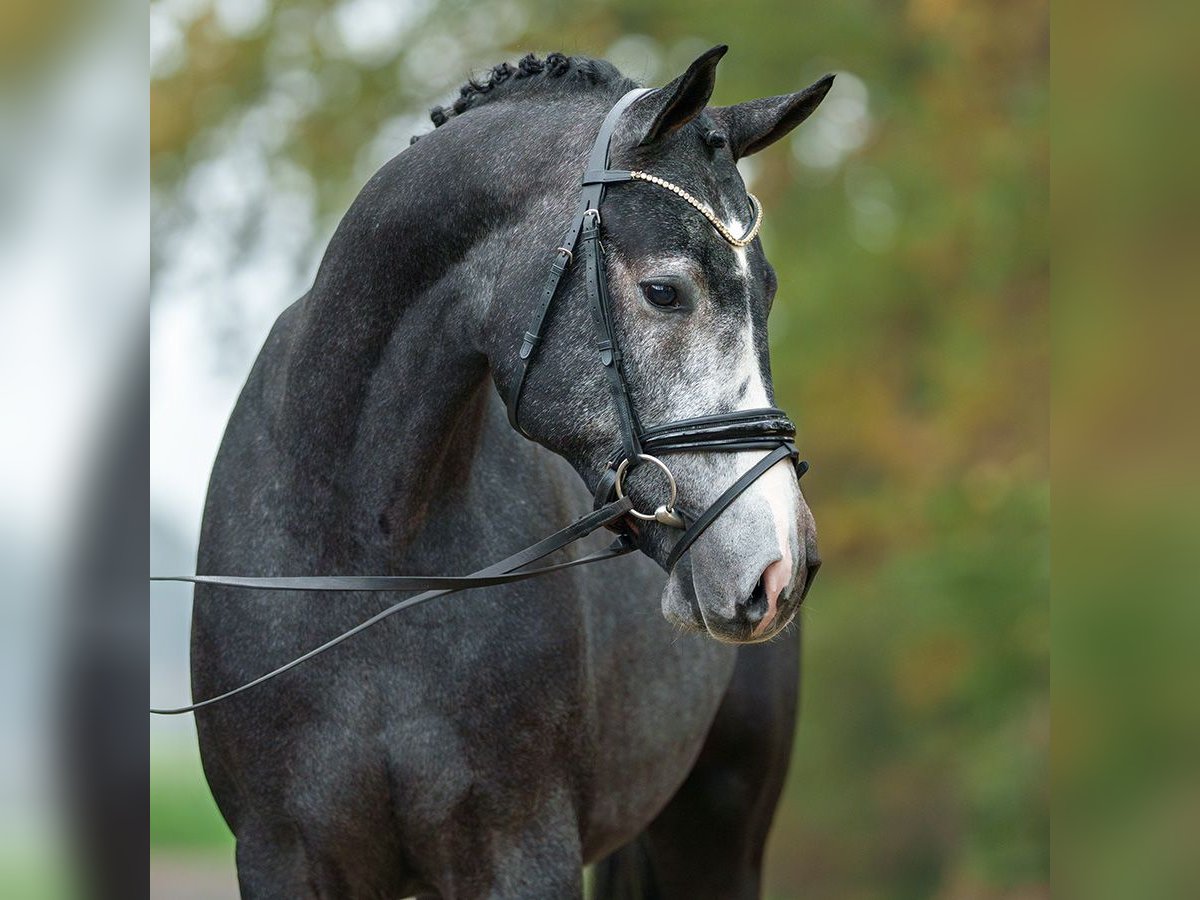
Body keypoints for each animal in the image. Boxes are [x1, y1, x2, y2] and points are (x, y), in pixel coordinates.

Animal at [192, 45, 830, 897]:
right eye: (665, 291)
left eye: (768, 292)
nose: (782, 566)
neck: (366, 566)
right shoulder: (283, 855)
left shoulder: (520, 850)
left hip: (718, 834)